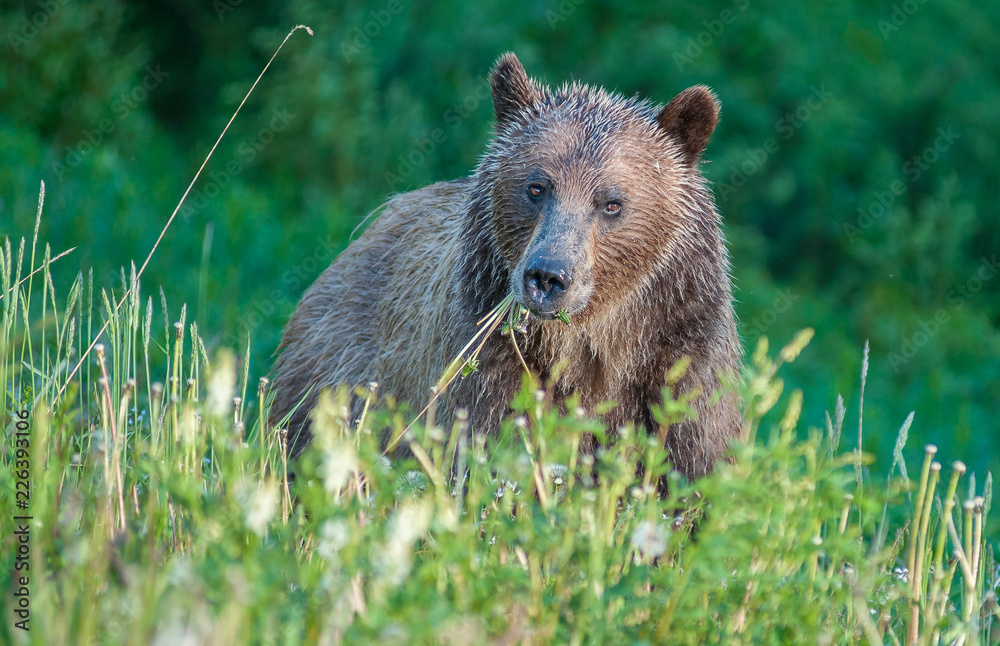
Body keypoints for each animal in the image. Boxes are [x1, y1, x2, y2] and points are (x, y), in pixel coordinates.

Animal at [270, 53, 742, 481]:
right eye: (536, 187)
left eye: (612, 202)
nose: (547, 276)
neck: (596, 338)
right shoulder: (487, 357)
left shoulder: (680, 354)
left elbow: (694, 463)